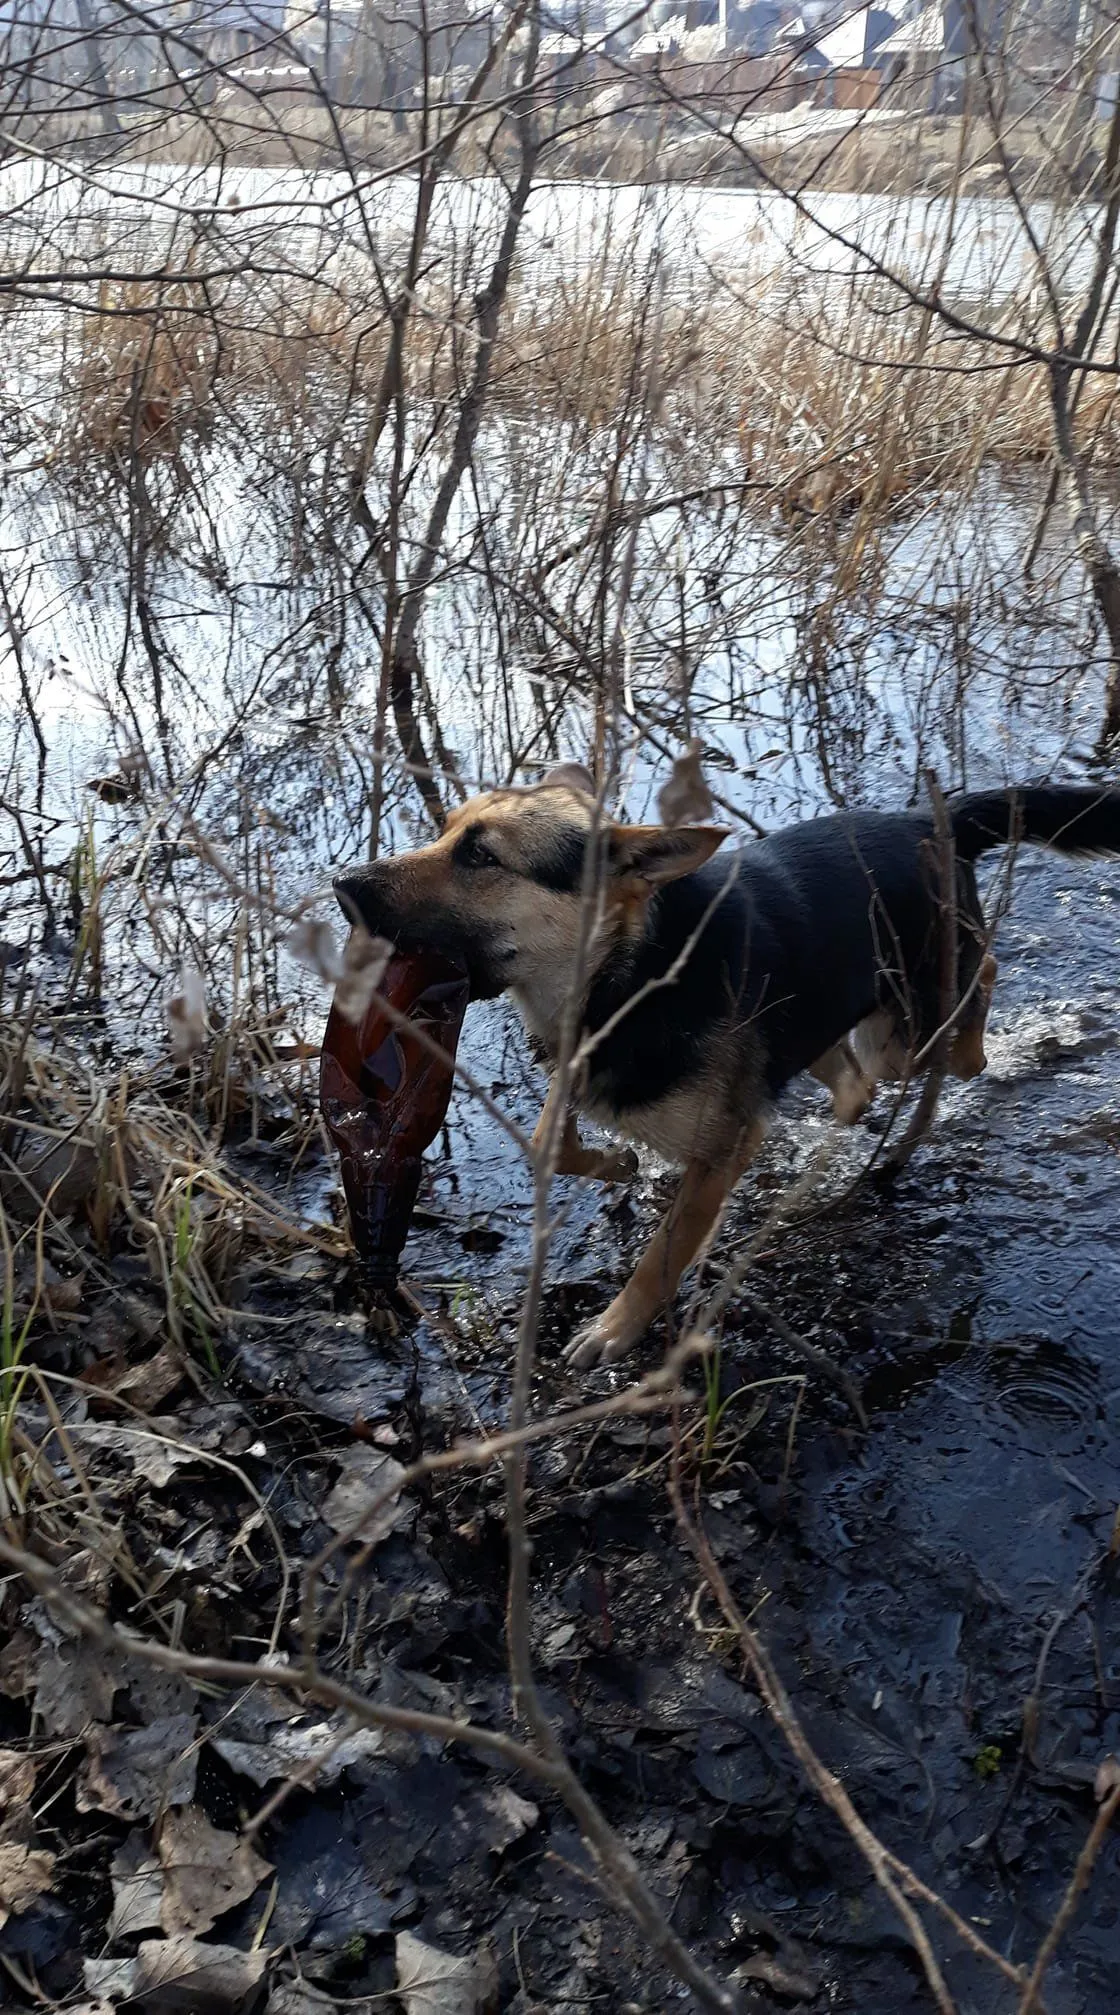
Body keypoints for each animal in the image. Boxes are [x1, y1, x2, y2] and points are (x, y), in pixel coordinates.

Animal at [336, 769, 1120, 1370]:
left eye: (482, 858)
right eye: (445, 831)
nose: (344, 885)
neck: (633, 973)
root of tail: (933, 815)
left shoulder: (722, 1148)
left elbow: (661, 1253)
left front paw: (616, 1328)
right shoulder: (591, 1077)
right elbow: (552, 1141)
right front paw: (621, 1165)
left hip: (912, 1019)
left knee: (973, 994)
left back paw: (966, 1055)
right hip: (830, 1020)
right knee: (857, 1081)